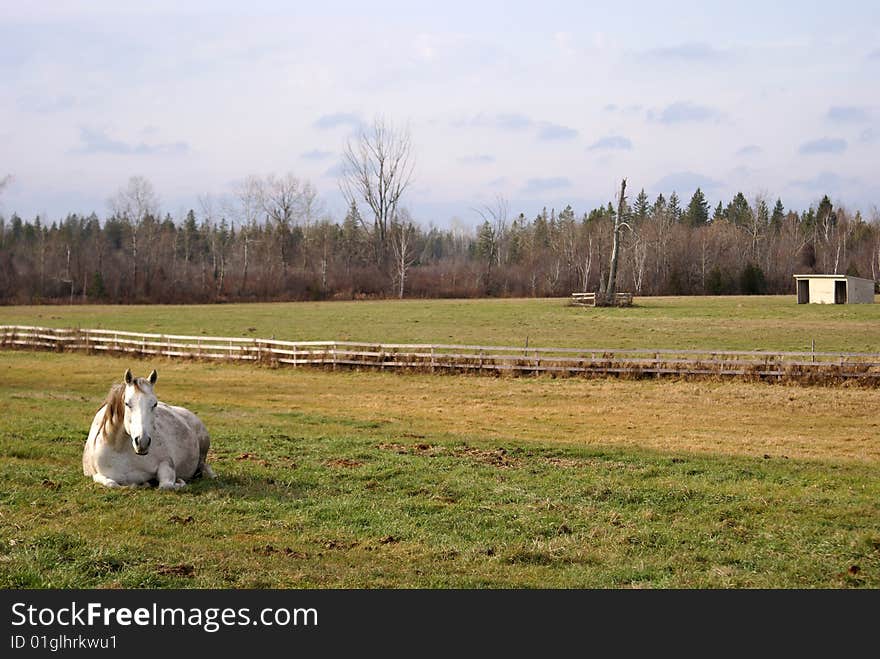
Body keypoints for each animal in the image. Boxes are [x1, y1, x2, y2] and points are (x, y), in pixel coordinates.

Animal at [83, 372, 216, 490]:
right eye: (127, 403)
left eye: (155, 404)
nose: (142, 442)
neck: (120, 449)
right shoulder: (98, 475)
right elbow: (113, 484)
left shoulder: (166, 464)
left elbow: (166, 486)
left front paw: (179, 482)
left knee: (203, 465)